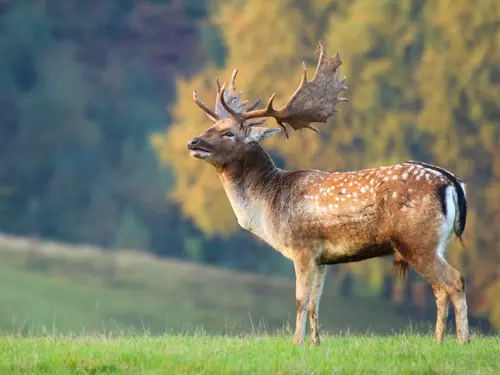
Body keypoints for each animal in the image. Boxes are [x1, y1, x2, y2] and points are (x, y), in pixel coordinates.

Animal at [187, 41, 468, 346]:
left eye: (228, 133)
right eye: (211, 126)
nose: (193, 142)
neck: (269, 204)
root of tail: (451, 182)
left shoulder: (303, 246)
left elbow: (300, 299)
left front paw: (296, 343)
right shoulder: (323, 257)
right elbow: (314, 302)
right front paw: (315, 342)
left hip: (416, 239)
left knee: (455, 281)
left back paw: (463, 340)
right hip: (436, 242)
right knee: (440, 288)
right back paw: (438, 341)